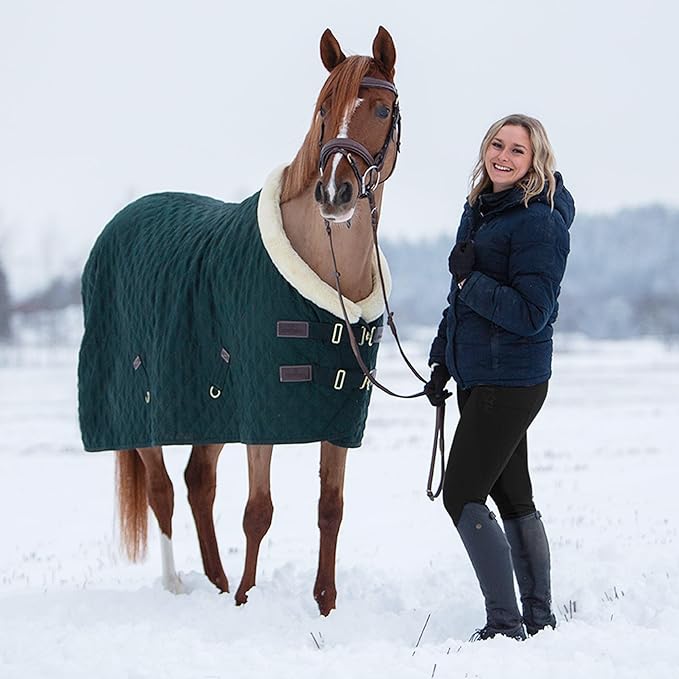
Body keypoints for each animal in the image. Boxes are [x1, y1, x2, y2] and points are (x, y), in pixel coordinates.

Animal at [77, 26, 400, 616]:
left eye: (383, 109)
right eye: (323, 109)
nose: (335, 193)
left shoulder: (339, 418)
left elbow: (331, 508)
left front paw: (324, 605)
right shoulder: (259, 416)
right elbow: (258, 511)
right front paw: (249, 599)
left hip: (208, 411)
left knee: (198, 481)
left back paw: (216, 580)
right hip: (143, 410)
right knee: (162, 490)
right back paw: (178, 585)